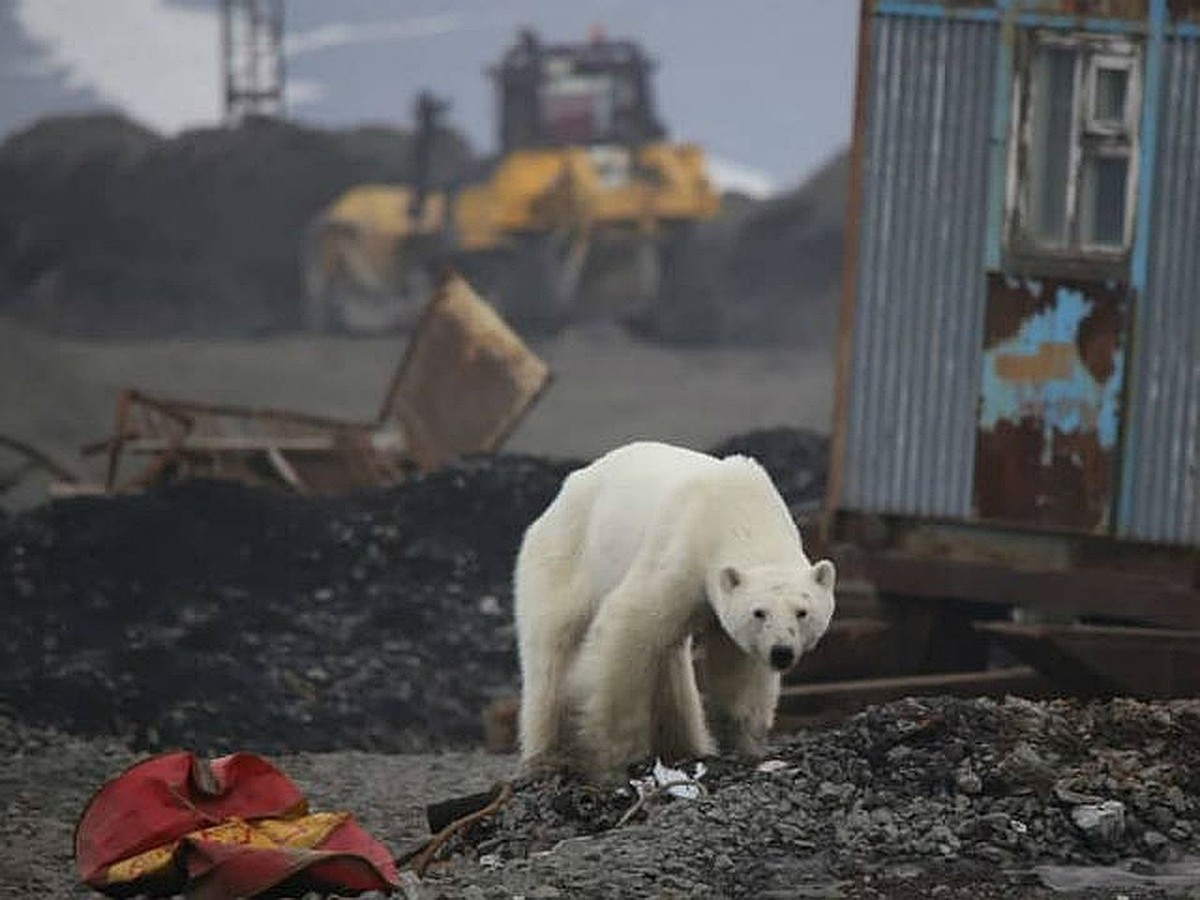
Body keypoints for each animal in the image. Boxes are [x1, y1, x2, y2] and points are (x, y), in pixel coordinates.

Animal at [513, 441, 835, 777]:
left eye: (802, 612)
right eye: (759, 612)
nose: (781, 652)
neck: (739, 510)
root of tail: (559, 497)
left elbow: (738, 665)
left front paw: (746, 744)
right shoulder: (681, 553)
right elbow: (626, 627)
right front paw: (621, 755)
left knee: (670, 662)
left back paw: (685, 747)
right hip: (564, 558)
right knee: (552, 651)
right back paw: (548, 755)